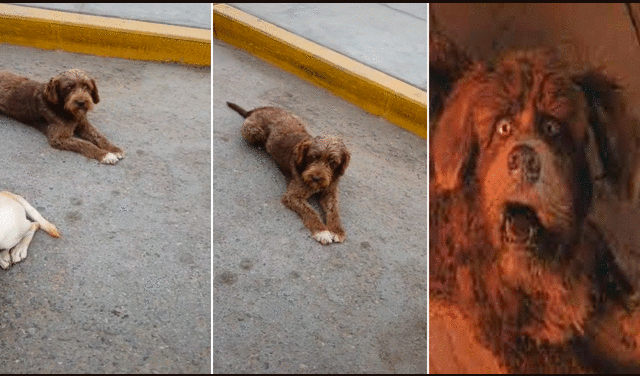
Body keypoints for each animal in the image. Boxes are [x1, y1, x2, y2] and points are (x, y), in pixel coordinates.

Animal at [228, 101, 350, 245]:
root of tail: (259, 109)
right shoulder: (293, 196)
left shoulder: (330, 193)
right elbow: (310, 211)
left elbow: (334, 210)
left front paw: (336, 230)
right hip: (252, 130)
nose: (316, 178)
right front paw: (322, 231)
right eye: (313, 157)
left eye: (333, 162)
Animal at [428, 43, 640, 370]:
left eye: (552, 127)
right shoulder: (516, 339)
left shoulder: (593, 253)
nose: (524, 159)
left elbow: (626, 298)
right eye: (503, 127)